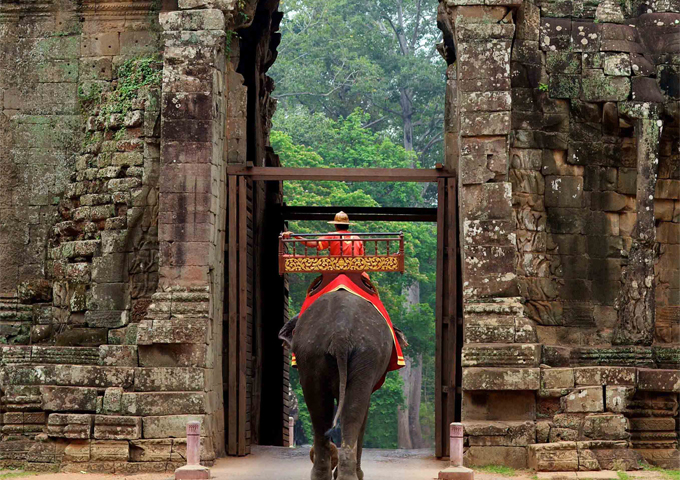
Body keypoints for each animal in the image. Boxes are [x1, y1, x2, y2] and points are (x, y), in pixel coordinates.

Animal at [278, 288, 406, 480]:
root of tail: (341, 331)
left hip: (315, 352)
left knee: (322, 409)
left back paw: (329, 474)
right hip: (360, 354)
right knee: (350, 409)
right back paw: (345, 475)